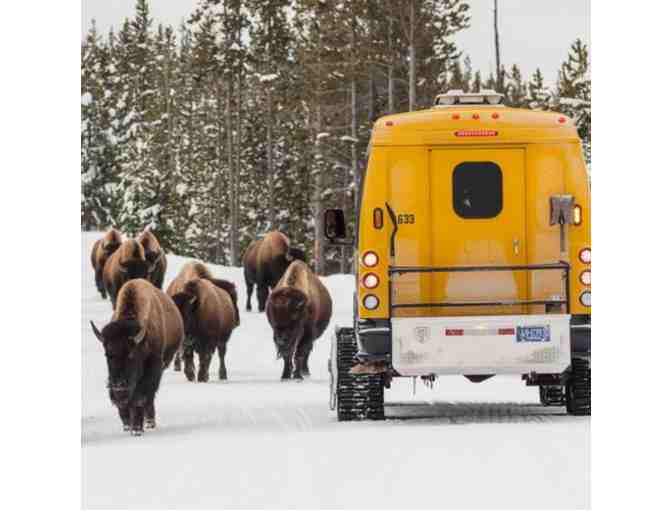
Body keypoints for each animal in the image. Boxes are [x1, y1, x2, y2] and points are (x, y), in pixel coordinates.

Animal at [89, 276, 185, 436]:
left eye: (131, 355)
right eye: (107, 354)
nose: (119, 386)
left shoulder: (153, 369)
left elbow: (140, 398)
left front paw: (137, 429)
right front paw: (127, 425)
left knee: (150, 397)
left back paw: (150, 422)